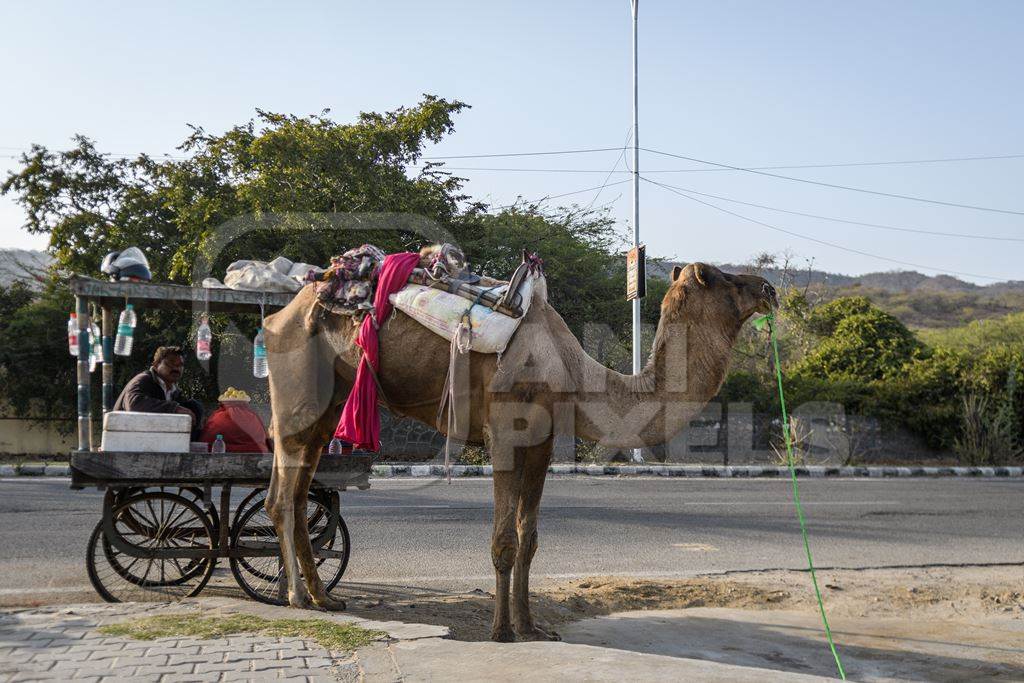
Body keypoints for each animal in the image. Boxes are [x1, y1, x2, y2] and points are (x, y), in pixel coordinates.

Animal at [264, 260, 774, 643]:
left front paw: (532, 626)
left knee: (296, 488)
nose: (768, 287)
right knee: (286, 490)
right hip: (299, 387)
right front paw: (502, 631)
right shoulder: (506, 434)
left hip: (332, 399)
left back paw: (323, 597)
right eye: (722, 277)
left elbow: (529, 540)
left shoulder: (542, 443)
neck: (572, 371)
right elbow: (504, 541)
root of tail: (276, 316)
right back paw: (294, 597)